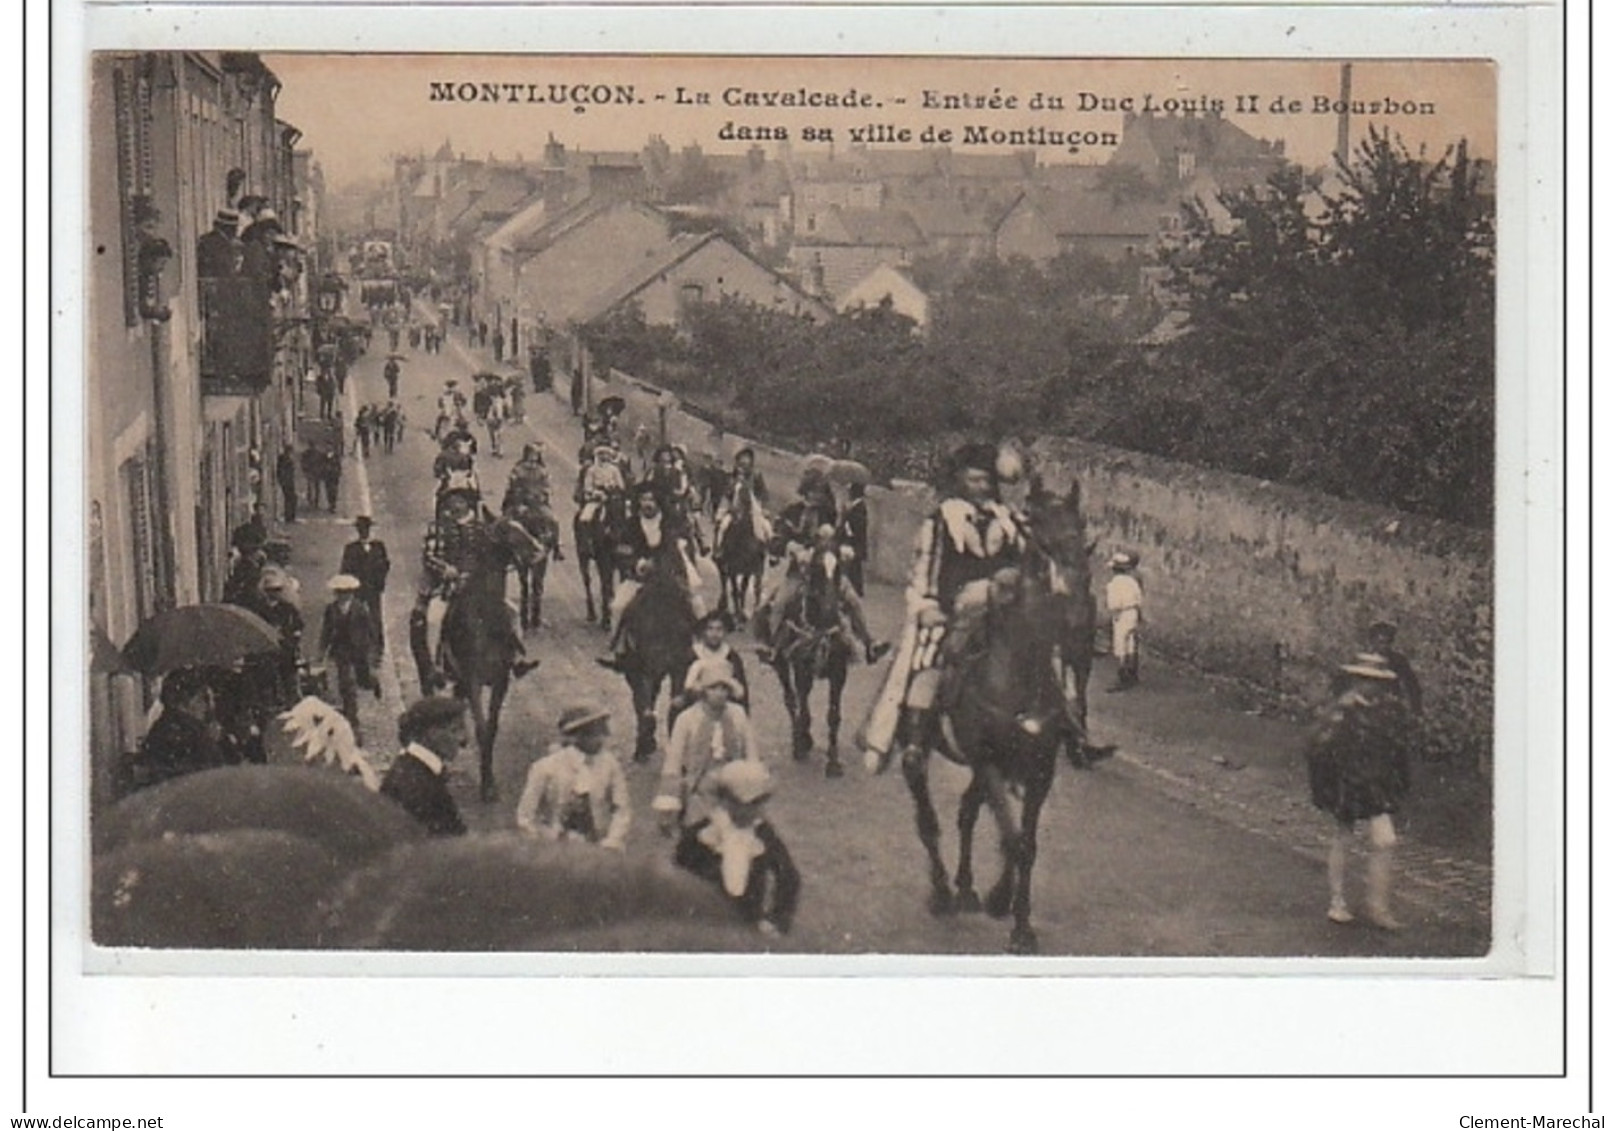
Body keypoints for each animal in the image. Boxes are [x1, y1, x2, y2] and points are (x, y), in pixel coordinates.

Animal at [439, 513, 545, 804]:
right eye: (505, 531)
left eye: (522, 525)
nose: (539, 550)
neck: (485, 617)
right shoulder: (474, 679)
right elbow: (482, 728)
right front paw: (487, 784)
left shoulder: (500, 680)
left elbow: (493, 729)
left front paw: (489, 781)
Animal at [904, 481, 1104, 950]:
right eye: (1038, 538)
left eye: (1081, 536)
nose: (1077, 619)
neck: (1018, 671)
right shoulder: (989, 761)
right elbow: (1012, 838)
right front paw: (1001, 900)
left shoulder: (1040, 769)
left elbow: (1025, 844)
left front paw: (1019, 921)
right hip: (927, 749)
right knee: (928, 815)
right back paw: (942, 891)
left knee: (966, 811)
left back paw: (964, 887)